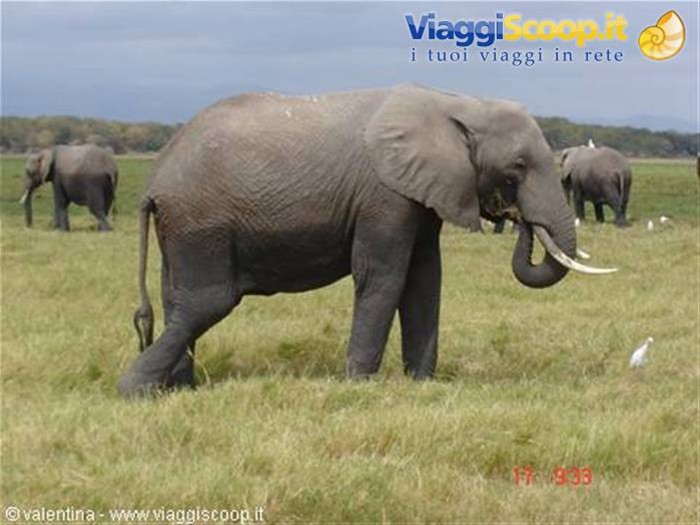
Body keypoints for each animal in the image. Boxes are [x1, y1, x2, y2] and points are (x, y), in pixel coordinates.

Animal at [118, 84, 615, 397]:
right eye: (517, 168)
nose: (518, 218)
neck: (457, 104)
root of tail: (153, 183)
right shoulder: (384, 195)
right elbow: (384, 277)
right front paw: (358, 385)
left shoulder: (422, 193)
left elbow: (425, 279)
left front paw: (422, 384)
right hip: (203, 223)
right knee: (207, 301)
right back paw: (135, 390)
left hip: (181, 229)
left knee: (177, 299)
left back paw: (182, 389)